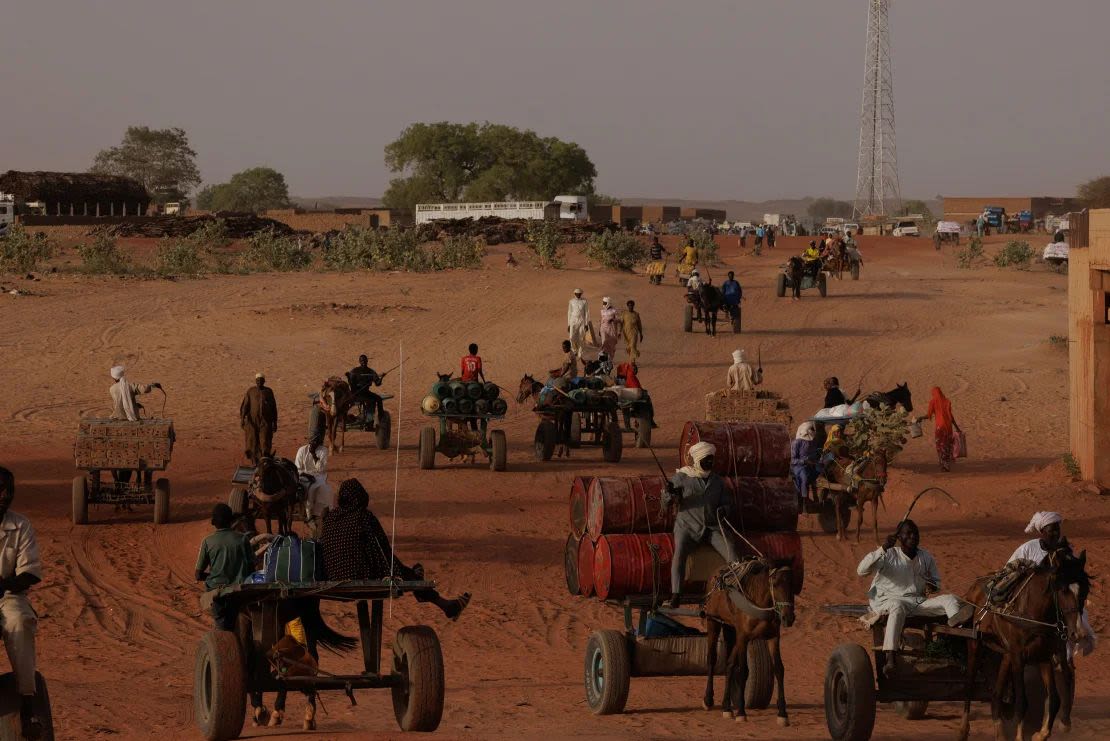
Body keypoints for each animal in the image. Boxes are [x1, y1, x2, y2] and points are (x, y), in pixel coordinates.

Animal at [701, 559, 799, 727]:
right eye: (775, 583)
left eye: (793, 584)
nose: (788, 617)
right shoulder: (743, 637)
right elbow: (743, 671)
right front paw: (741, 712)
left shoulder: (773, 637)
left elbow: (779, 669)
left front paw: (782, 713)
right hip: (713, 621)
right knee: (712, 659)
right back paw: (708, 700)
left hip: (731, 629)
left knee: (729, 664)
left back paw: (727, 707)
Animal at [959, 552, 1087, 736]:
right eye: (1063, 590)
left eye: (1084, 590)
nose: (1077, 633)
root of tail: (974, 587)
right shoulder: (1019, 658)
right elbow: (1021, 702)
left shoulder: (1044, 656)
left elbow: (1054, 699)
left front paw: (1041, 735)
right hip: (975, 644)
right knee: (969, 683)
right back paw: (963, 728)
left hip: (1006, 654)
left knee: (997, 693)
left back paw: (1000, 732)